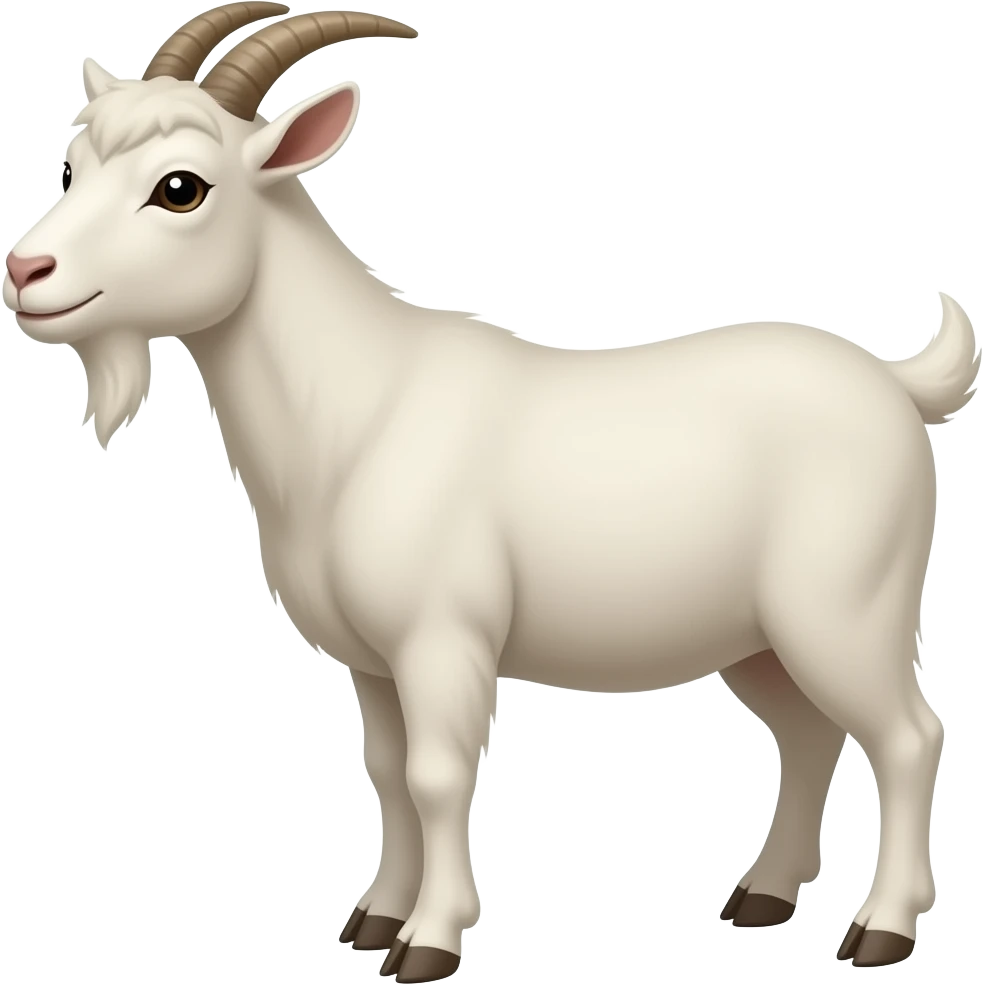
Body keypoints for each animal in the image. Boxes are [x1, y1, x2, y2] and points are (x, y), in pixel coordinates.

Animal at [2, 3, 978, 979]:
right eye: (72, 162)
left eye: (180, 188)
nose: (24, 271)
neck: (360, 407)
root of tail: (896, 386)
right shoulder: (373, 660)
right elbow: (386, 772)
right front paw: (374, 917)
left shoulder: (441, 637)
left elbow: (435, 774)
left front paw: (429, 939)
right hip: (758, 635)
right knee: (809, 734)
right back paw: (764, 896)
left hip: (846, 607)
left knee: (907, 735)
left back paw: (882, 928)